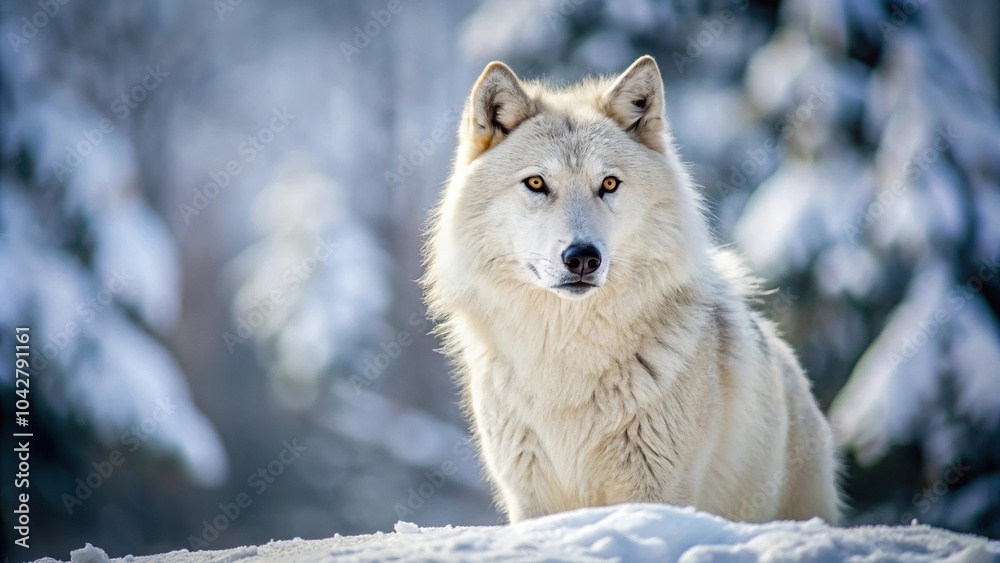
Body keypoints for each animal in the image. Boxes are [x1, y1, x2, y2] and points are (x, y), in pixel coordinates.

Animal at [421, 56, 840, 524]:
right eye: (536, 183)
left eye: (608, 184)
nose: (583, 258)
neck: (567, 357)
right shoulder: (530, 500)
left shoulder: (655, 490)